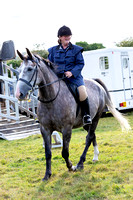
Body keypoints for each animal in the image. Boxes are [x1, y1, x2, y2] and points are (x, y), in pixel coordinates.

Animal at [15, 49, 130, 180]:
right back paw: (95, 156)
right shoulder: (45, 129)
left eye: (29, 69)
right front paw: (47, 175)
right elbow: (48, 153)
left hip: (96, 118)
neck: (51, 98)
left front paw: (71, 167)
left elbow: (64, 152)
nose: (19, 94)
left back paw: (80, 163)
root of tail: (96, 83)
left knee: (89, 137)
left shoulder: (67, 128)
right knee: (92, 136)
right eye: (19, 70)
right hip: (85, 123)